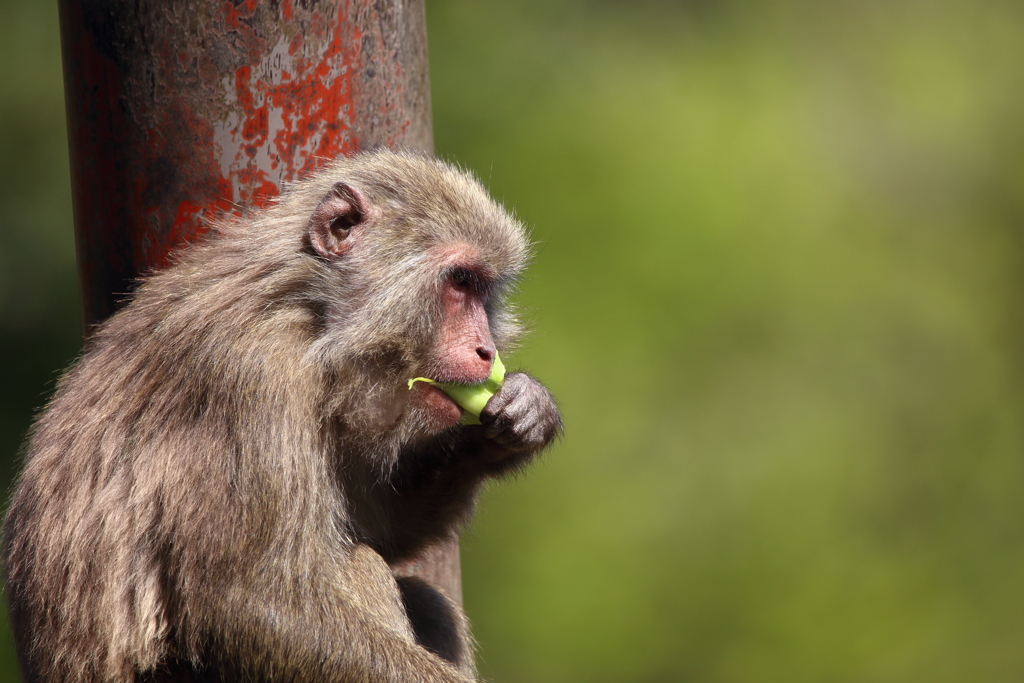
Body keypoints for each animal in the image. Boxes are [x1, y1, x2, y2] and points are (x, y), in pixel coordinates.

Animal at [2, 150, 561, 683]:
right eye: (460, 282)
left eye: (483, 291)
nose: (486, 350)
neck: (309, 314)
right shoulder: (248, 376)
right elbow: (243, 604)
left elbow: (381, 526)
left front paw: (521, 414)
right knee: (354, 567)